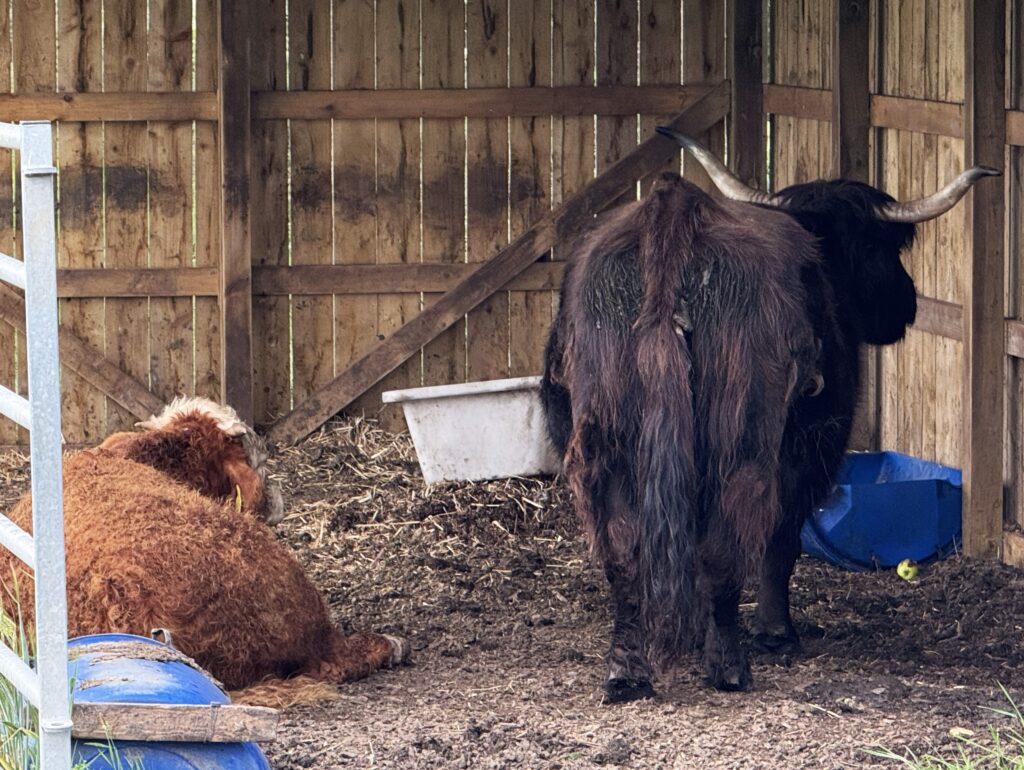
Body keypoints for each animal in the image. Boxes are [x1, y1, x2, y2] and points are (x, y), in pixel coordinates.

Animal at [540, 129, 998, 702]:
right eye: (880, 246)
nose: (907, 304)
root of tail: (673, 224)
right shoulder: (813, 448)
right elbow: (781, 541)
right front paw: (776, 633)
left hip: (604, 440)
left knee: (622, 549)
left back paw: (628, 673)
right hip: (739, 439)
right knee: (723, 543)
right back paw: (730, 666)